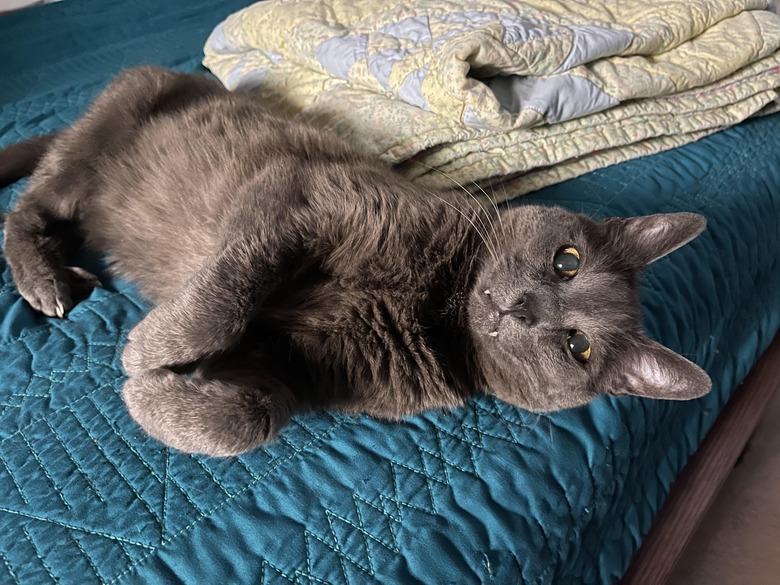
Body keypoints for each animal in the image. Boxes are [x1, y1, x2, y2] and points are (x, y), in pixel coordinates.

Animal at [0, 65, 712, 456]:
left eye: (577, 348)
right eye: (568, 261)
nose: (521, 308)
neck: (435, 306)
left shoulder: (297, 368)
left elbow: (250, 416)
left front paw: (155, 394)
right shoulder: (298, 201)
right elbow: (228, 291)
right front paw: (149, 350)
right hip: (105, 131)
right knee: (28, 204)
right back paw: (47, 281)